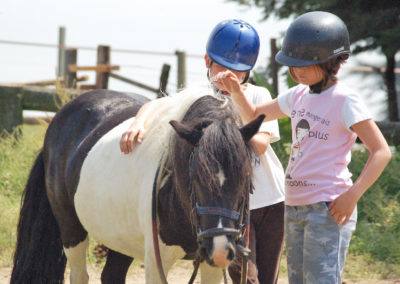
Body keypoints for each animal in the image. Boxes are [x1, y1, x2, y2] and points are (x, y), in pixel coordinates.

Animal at [9, 87, 264, 282]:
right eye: (195, 177)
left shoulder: (211, 265)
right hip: (71, 229)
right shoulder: (155, 262)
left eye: (245, 177)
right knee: (79, 275)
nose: (220, 248)